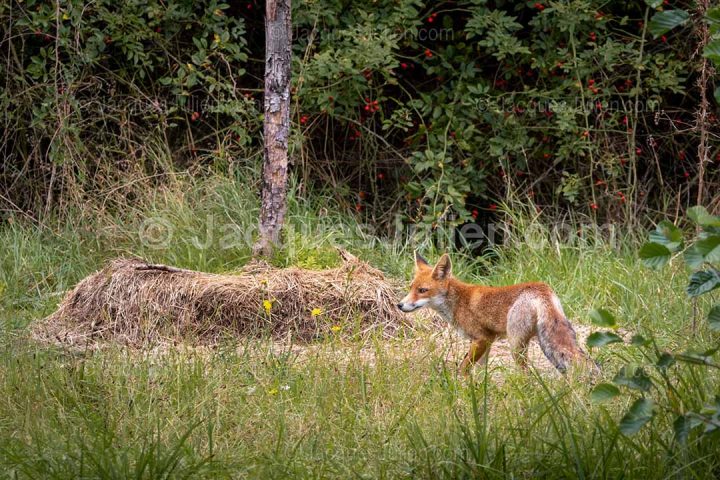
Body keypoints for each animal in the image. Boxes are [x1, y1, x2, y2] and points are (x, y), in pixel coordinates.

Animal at [397, 252, 596, 375]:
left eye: (422, 290)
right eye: (411, 288)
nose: (399, 305)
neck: (458, 302)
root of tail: (542, 289)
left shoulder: (482, 339)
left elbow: (463, 369)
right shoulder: (487, 342)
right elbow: (479, 373)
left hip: (515, 345)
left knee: (527, 374)